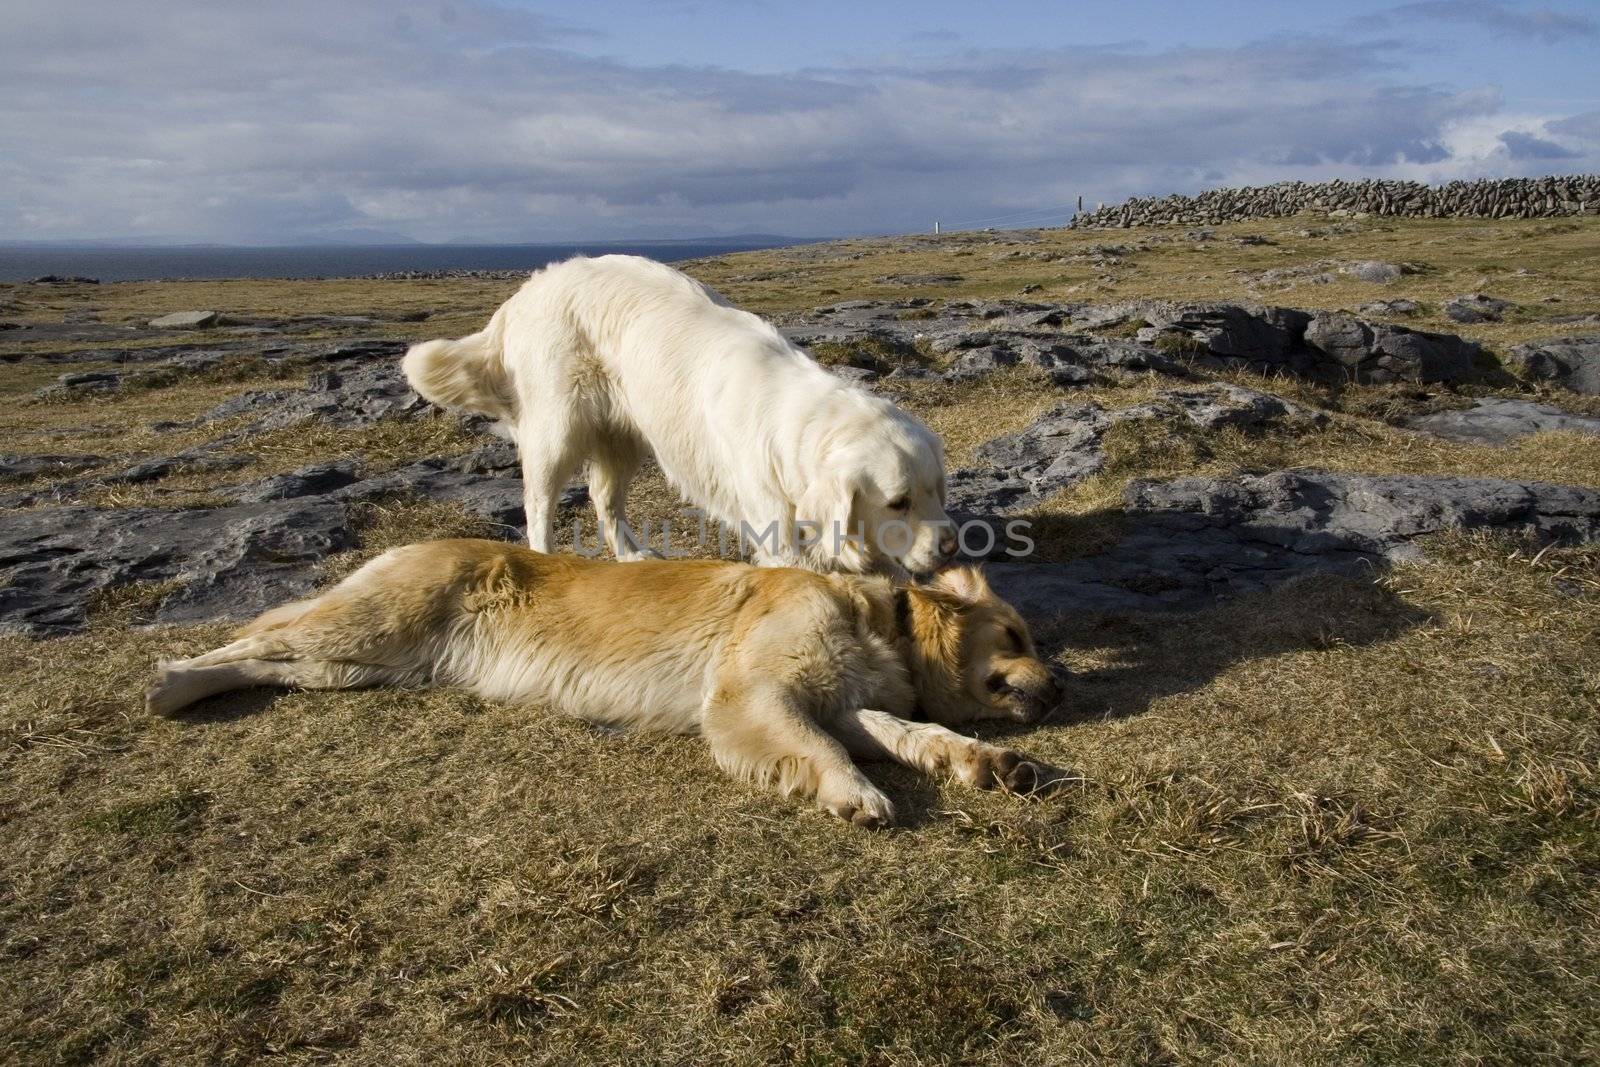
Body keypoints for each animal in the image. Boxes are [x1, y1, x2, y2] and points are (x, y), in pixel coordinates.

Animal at [403, 255, 947, 575]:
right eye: (897, 502)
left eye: (937, 491)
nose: (948, 548)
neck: (796, 418)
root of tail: (524, 293)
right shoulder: (775, 526)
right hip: (559, 428)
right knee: (538, 502)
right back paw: (545, 559)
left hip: (623, 436)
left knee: (604, 499)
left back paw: (631, 554)